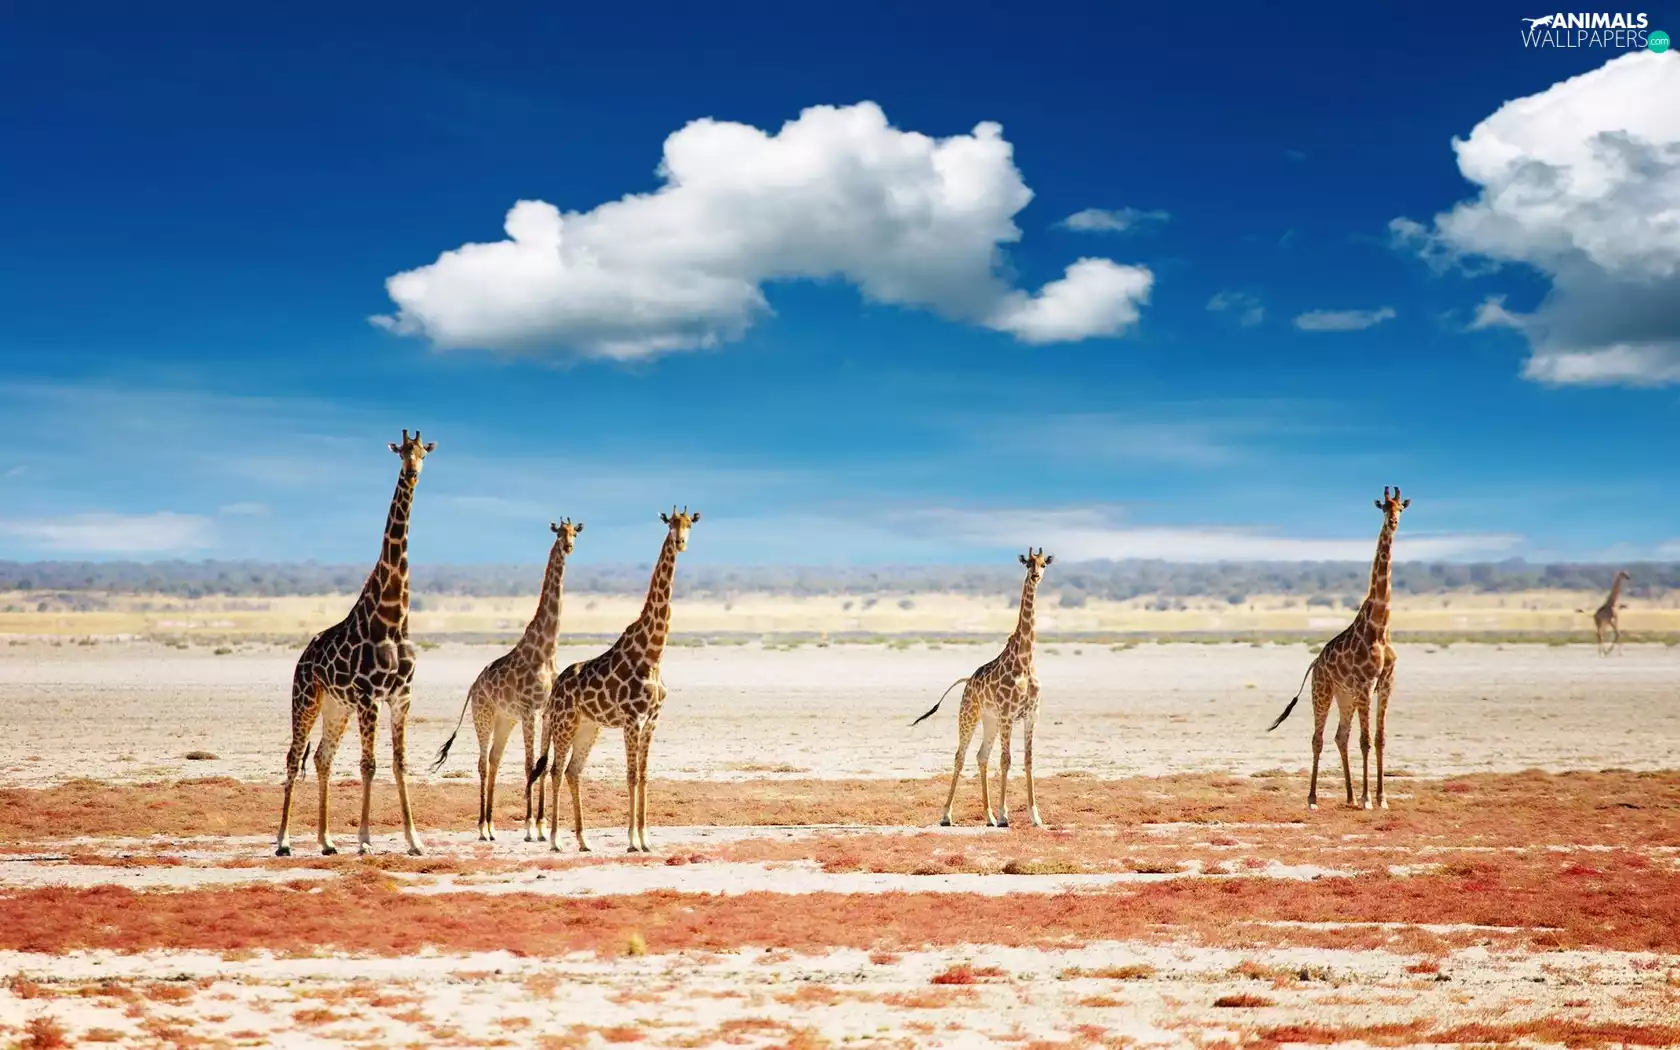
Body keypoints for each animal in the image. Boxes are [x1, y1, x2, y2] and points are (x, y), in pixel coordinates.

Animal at [275, 430, 435, 857]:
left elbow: (398, 763)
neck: (393, 619)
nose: (412, 473)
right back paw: (283, 841)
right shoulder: (369, 697)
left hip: (336, 707)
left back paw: (327, 840)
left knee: (322, 758)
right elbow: (369, 764)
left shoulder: (401, 697)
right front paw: (364, 839)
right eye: (401, 452)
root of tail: (303, 657)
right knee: (294, 756)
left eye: (423, 452)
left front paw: (415, 840)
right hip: (306, 698)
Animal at [431, 518, 583, 841]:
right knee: (482, 762)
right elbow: (529, 764)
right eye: (559, 533)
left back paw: (491, 826)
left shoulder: (546, 712)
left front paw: (540, 825)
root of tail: (473, 687)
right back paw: (482, 827)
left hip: (505, 719)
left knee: (494, 759)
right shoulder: (529, 710)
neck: (546, 650)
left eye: (575, 533)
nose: (568, 546)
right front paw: (528, 826)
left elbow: (542, 764)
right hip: (484, 715)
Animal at [529, 507, 699, 853]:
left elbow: (644, 775)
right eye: (671, 524)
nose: (681, 542)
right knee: (555, 771)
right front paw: (633, 840)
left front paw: (646, 839)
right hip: (565, 723)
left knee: (573, 771)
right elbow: (631, 775)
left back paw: (584, 840)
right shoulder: (632, 719)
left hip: (588, 727)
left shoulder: (651, 719)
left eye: (690, 524)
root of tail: (555, 691)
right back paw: (555, 840)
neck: (653, 653)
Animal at [911, 547, 1053, 829]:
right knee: (960, 755)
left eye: (1044, 564)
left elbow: (1029, 761)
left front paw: (1035, 817)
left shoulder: (1031, 716)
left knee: (981, 755)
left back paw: (987, 817)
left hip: (989, 720)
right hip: (969, 715)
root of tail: (968, 680)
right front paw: (1005, 815)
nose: (1036, 576)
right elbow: (1006, 760)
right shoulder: (1008, 715)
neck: (1025, 661)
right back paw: (947, 815)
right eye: (1028, 563)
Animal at [1267, 486, 1408, 811]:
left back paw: (1349, 796)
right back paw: (1313, 799)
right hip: (1323, 691)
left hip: (1345, 696)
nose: (1393, 522)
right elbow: (1365, 741)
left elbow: (1379, 739)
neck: (1380, 626)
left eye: (1401, 508)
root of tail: (1315, 663)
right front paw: (1369, 799)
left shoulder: (1386, 684)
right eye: (1384, 507)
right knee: (1318, 739)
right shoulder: (1366, 684)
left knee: (1340, 736)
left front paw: (1381, 799)